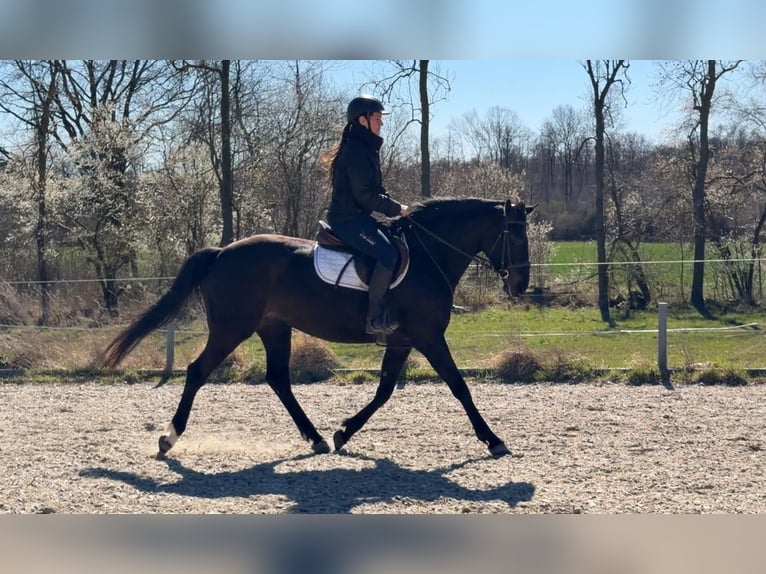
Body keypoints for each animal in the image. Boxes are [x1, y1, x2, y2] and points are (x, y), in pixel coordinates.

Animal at [100, 197, 536, 458]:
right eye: (514, 236)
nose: (520, 284)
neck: (429, 257)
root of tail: (222, 252)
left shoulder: (402, 341)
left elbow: (384, 391)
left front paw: (344, 432)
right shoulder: (429, 337)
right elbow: (460, 386)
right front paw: (494, 440)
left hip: (274, 328)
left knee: (278, 380)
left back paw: (316, 438)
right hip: (231, 329)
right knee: (197, 372)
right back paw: (168, 438)